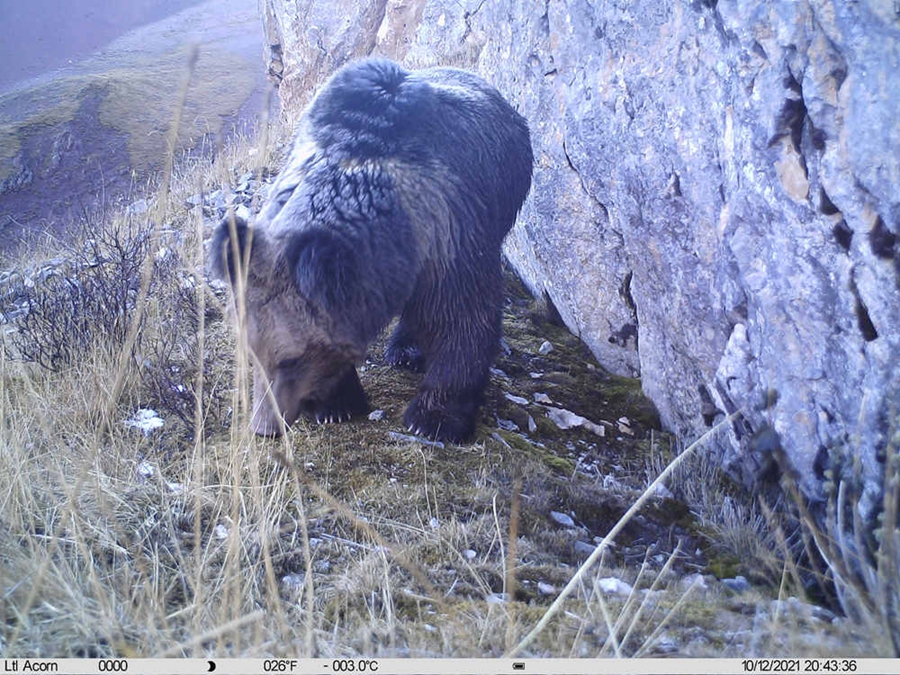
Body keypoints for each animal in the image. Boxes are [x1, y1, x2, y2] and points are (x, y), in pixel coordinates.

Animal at [209, 58, 536, 444]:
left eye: (290, 359)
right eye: (251, 353)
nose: (264, 427)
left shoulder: (452, 237)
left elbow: (465, 321)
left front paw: (433, 418)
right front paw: (336, 404)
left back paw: (407, 350)